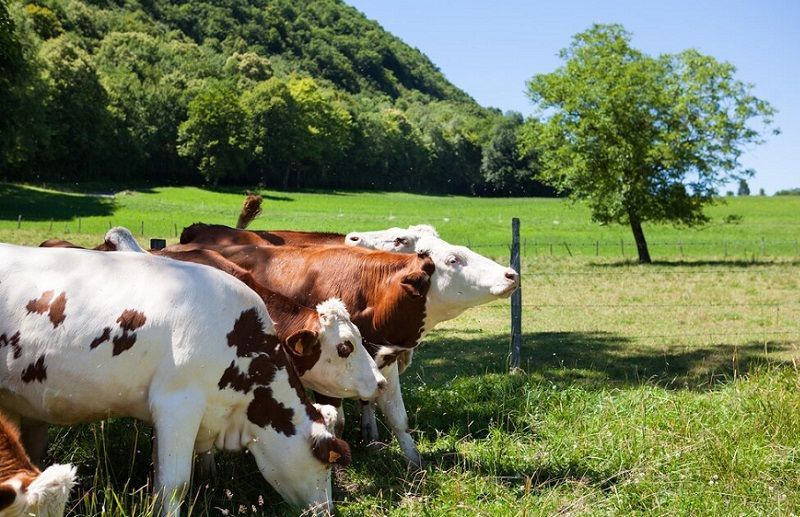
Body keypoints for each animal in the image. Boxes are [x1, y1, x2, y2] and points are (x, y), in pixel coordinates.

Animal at [166, 240, 520, 466]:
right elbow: (335, 419)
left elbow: (397, 416)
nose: (511, 274)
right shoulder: (328, 378)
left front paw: (413, 462)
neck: (376, 294)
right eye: (453, 259)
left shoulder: (384, 364)